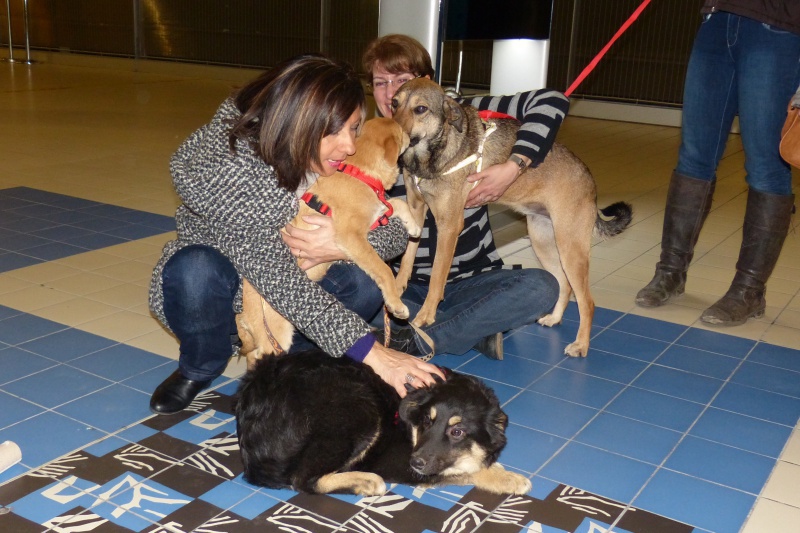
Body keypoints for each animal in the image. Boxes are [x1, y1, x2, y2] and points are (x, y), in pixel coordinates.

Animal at [234, 350, 536, 494]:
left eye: (458, 432)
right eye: (427, 422)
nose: (417, 462)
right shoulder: (400, 461)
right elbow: (468, 469)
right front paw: (508, 478)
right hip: (359, 407)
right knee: (303, 480)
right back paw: (365, 481)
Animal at [236, 117, 422, 366]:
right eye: (401, 129)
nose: (412, 136)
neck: (359, 172)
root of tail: (242, 311)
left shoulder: (376, 213)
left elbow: (397, 204)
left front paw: (413, 225)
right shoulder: (351, 235)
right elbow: (382, 269)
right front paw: (396, 305)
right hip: (276, 332)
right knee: (259, 355)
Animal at [392, 79, 632, 358]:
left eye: (420, 109)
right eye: (394, 103)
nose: (392, 132)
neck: (434, 152)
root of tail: (590, 180)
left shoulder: (449, 226)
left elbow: (436, 279)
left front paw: (426, 315)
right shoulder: (416, 210)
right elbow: (408, 257)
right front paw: (397, 288)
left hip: (571, 249)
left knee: (587, 301)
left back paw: (581, 344)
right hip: (544, 244)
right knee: (564, 285)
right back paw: (554, 318)